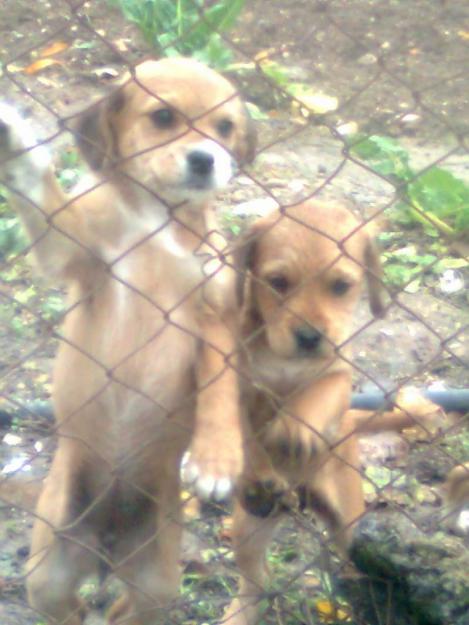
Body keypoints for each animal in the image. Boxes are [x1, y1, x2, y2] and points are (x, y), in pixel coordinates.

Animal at [0, 56, 254, 620]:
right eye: (163, 117)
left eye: (225, 128)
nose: (207, 159)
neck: (158, 223)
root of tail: (106, 545)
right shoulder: (72, 248)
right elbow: (41, 190)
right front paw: (14, 140)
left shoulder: (216, 318)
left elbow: (222, 387)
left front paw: (216, 458)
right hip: (48, 569)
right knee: (69, 608)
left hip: (158, 579)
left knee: (126, 610)